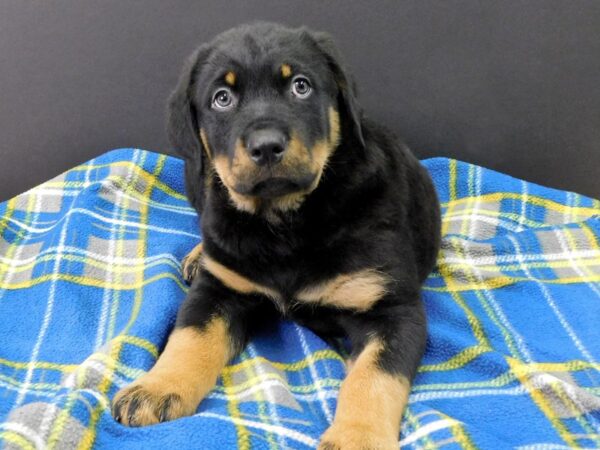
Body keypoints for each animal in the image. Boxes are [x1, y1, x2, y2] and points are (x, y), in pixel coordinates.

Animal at [112, 22, 440, 448]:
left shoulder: (392, 308)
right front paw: (156, 387)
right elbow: (190, 337)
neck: (284, 221)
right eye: (221, 98)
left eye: (301, 86)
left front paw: (358, 438)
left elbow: (373, 377)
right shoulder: (218, 289)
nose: (266, 146)